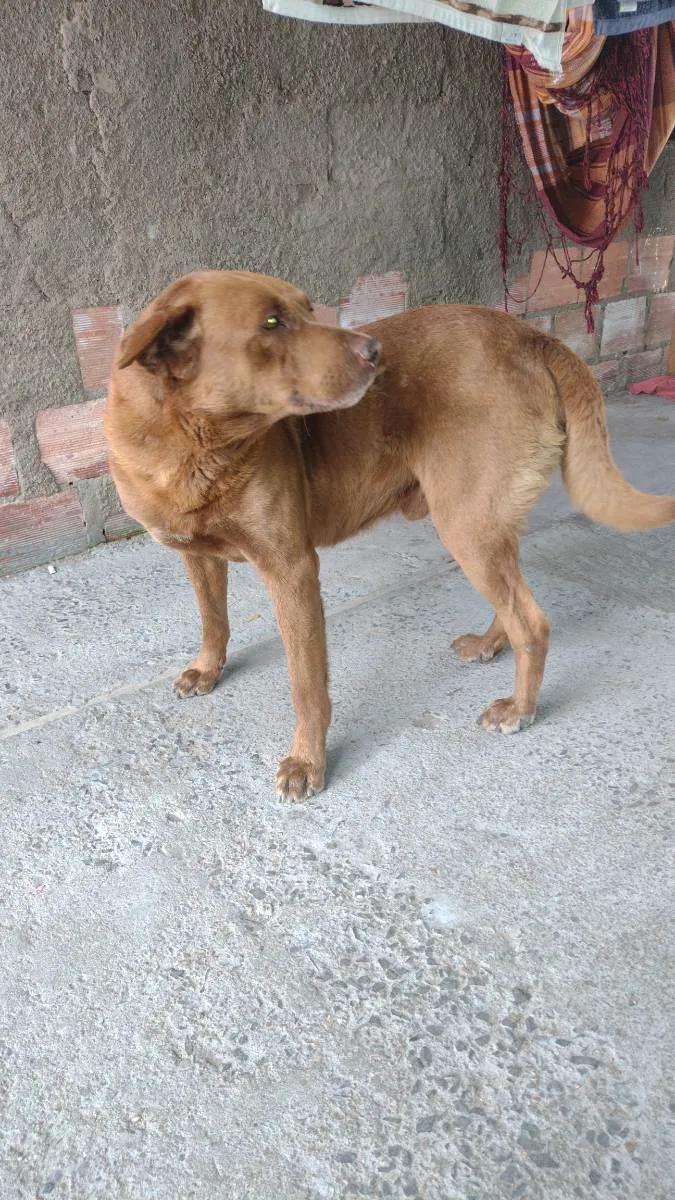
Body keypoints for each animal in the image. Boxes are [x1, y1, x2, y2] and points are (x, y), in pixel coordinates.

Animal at [103, 271, 672, 796]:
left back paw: (519, 708)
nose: (374, 351)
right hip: (483, 521)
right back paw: (491, 644)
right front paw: (208, 669)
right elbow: (213, 619)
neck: (194, 445)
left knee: (532, 622)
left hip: (464, 523)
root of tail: (532, 336)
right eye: (271, 323)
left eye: (309, 308)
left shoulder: (292, 569)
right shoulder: (195, 555)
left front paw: (308, 762)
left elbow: (306, 684)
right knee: (515, 603)